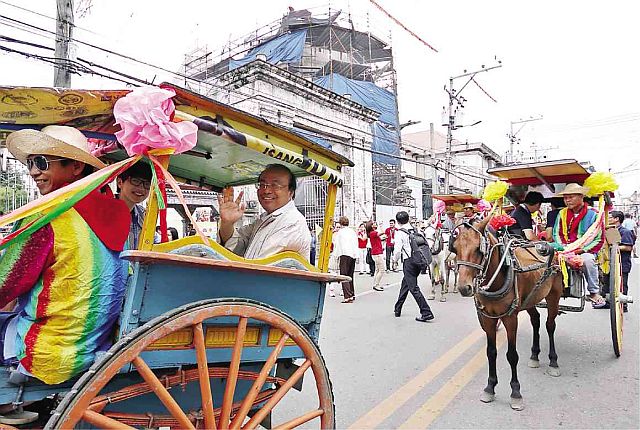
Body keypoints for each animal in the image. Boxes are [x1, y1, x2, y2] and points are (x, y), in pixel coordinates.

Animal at [452, 217, 564, 412]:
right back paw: (534, 356)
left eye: (478, 249)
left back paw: (553, 362)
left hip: (553, 295)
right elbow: (491, 352)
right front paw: (490, 387)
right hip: (529, 299)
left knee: (550, 325)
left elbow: (512, 355)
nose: (464, 288)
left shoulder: (511, 318)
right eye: (455, 248)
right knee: (536, 320)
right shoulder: (487, 319)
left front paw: (516, 392)